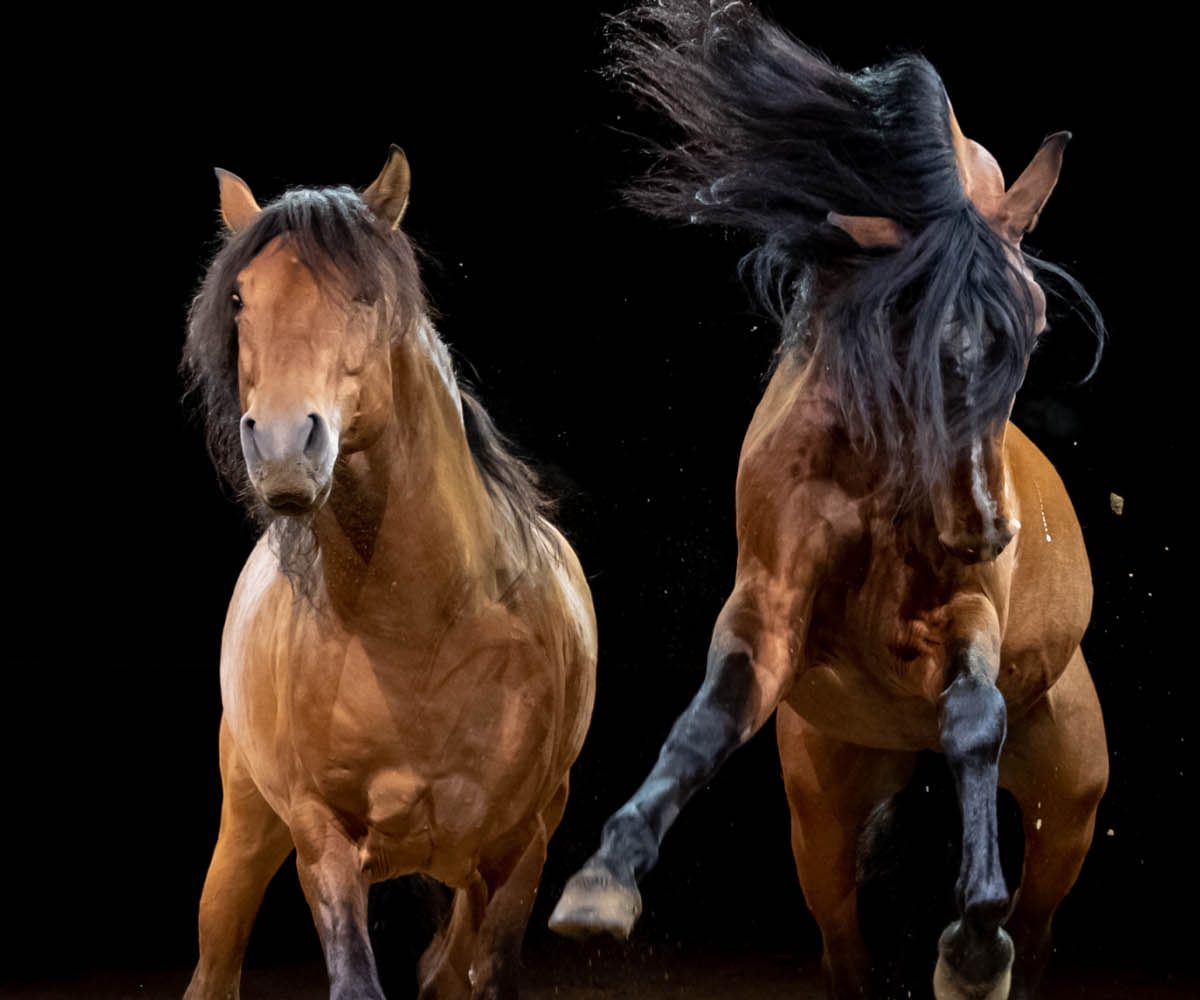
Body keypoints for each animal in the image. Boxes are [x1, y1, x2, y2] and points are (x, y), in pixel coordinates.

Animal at [181, 148, 595, 998]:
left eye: (366, 292)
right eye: (239, 296)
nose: (282, 447)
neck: (420, 626)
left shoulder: (521, 847)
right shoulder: (322, 839)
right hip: (247, 834)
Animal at [549, 3, 1104, 993]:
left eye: (1035, 322)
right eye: (901, 317)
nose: (984, 527)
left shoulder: (967, 611)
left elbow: (975, 719)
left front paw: (972, 941)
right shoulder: (770, 603)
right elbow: (706, 722)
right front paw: (603, 883)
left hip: (1068, 805)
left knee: (1037, 921)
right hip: (824, 813)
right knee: (844, 942)